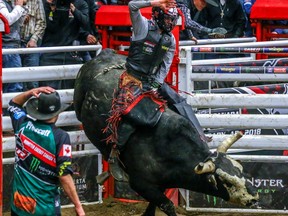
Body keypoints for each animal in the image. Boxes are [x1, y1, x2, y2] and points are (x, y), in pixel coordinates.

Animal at [73, 49, 258, 216]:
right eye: (228, 183)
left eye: (241, 169)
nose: (254, 196)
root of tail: (103, 55)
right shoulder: (141, 184)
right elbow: (167, 205)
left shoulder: (161, 184)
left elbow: (153, 206)